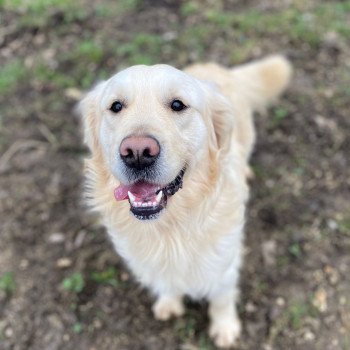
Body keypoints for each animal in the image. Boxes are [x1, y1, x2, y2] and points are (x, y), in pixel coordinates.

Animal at [79, 55, 292, 348]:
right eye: (116, 106)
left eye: (178, 105)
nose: (137, 152)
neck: (171, 227)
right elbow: (168, 283)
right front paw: (169, 302)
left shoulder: (224, 263)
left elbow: (222, 299)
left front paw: (225, 328)